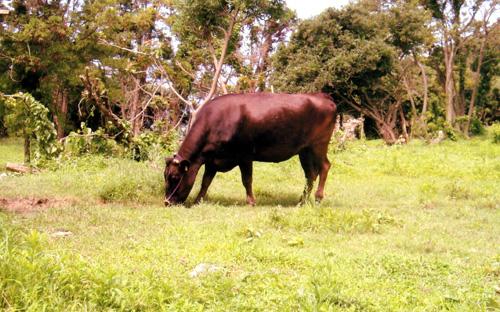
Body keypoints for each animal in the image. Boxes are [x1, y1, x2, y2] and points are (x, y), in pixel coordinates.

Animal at [166, 92, 338, 207]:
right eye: (165, 176)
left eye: (175, 177)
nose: (167, 201)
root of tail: (323, 96)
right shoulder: (211, 159)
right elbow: (205, 182)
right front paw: (198, 200)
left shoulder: (245, 155)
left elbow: (247, 180)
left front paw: (251, 201)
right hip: (304, 150)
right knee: (310, 174)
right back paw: (302, 201)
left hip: (319, 144)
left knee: (324, 166)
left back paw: (318, 198)